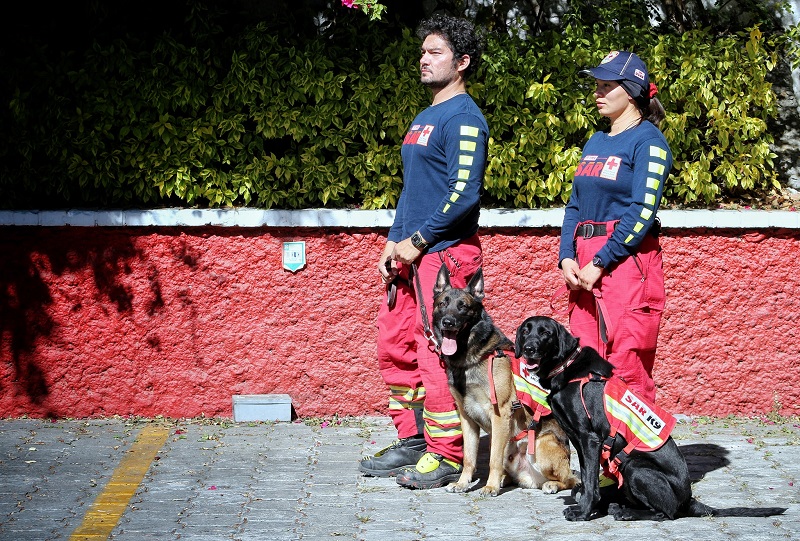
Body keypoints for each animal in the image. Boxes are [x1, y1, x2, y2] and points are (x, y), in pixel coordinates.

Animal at [434, 264, 580, 496]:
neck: (470, 358)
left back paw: (550, 484)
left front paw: (490, 486)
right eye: (442, 304)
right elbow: (469, 458)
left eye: (463, 307)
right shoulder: (466, 417)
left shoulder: (500, 413)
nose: (448, 322)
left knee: (570, 479)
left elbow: (493, 458)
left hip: (541, 445)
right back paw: (505, 479)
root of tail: (531, 478)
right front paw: (463, 483)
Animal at [512, 314, 788, 520]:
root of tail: (689, 500)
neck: (567, 367)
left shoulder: (589, 438)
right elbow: (588, 479)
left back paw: (626, 513)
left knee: (667, 513)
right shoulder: (580, 442)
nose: (529, 349)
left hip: (636, 467)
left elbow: (589, 481)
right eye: (526, 331)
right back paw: (619, 507)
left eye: (545, 333)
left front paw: (583, 511)